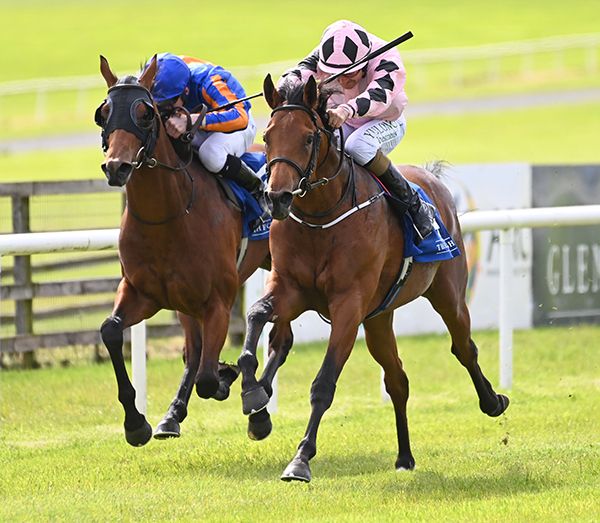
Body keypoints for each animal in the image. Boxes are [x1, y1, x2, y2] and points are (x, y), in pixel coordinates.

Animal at [95, 55, 270, 446]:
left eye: (145, 113)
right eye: (104, 112)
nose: (117, 167)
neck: (168, 217)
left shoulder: (218, 300)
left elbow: (208, 378)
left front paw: (228, 377)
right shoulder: (142, 292)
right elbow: (111, 331)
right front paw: (136, 423)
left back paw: (256, 408)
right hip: (185, 302)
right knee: (194, 354)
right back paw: (172, 416)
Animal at [236, 74, 509, 482]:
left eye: (308, 138)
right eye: (267, 137)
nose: (278, 198)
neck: (321, 217)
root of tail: (432, 180)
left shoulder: (349, 305)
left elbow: (324, 384)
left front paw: (300, 459)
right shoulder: (290, 289)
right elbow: (255, 315)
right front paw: (254, 400)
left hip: (448, 293)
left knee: (464, 348)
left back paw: (492, 400)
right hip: (379, 317)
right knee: (397, 380)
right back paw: (405, 456)